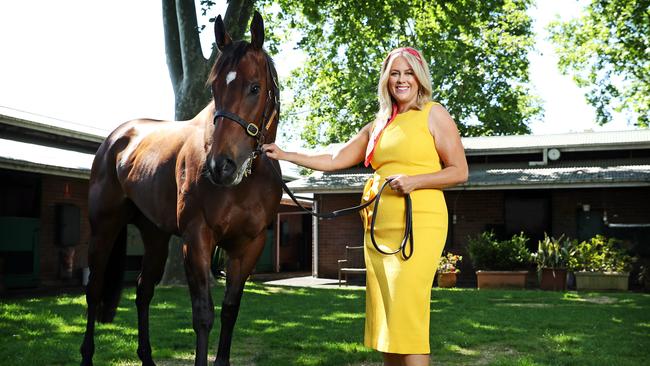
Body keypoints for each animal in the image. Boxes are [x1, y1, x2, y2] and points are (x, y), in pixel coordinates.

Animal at [79, 11, 280, 366]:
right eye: (214, 87)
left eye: (255, 87)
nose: (221, 166)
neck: (247, 182)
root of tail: (116, 139)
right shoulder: (196, 238)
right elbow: (203, 315)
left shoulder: (249, 245)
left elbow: (230, 311)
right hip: (104, 228)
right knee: (95, 289)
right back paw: (87, 355)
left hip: (155, 236)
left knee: (143, 291)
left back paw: (146, 357)